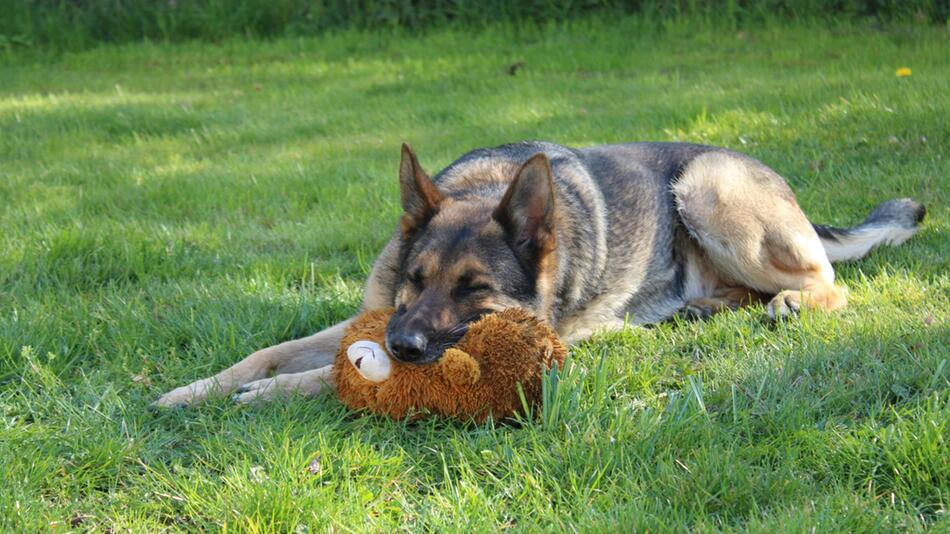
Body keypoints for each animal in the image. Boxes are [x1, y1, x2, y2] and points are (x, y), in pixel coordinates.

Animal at [154, 142, 924, 406]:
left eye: (475, 290)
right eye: (415, 278)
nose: (402, 344)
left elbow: (333, 373)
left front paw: (264, 394)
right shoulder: (368, 316)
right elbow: (269, 351)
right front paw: (192, 390)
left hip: (707, 188)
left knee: (831, 284)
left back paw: (791, 301)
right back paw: (700, 309)